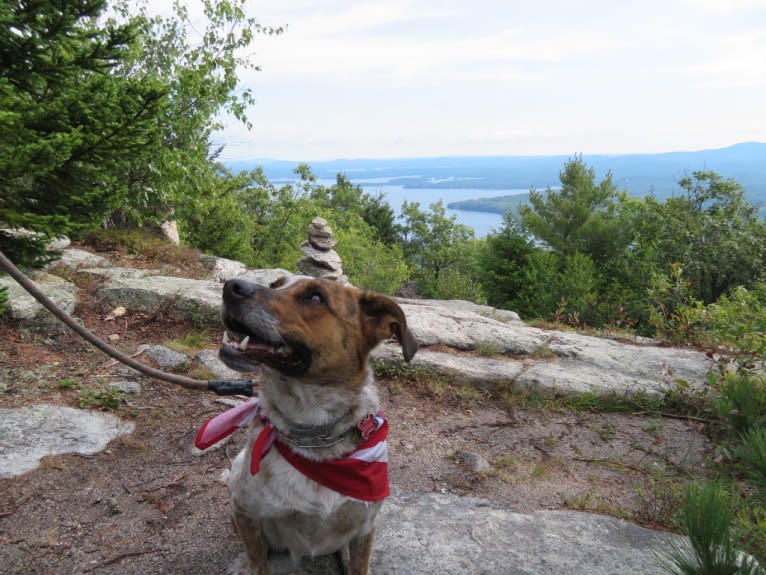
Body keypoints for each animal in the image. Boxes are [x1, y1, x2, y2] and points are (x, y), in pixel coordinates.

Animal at [207, 276, 416, 572]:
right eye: (276, 284)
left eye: (316, 297)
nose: (231, 286)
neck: (314, 435)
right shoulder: (246, 512)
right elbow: (258, 564)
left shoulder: (365, 527)